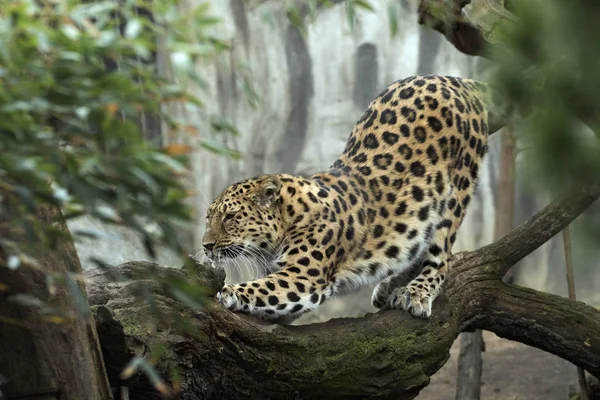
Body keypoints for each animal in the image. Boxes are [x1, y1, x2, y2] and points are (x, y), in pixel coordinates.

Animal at [204, 75, 504, 324]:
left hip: (457, 192)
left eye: (230, 217)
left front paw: (227, 291)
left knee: (440, 255)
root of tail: (452, 79)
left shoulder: (302, 277)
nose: (206, 246)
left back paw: (416, 293)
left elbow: (259, 287)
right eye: (208, 218)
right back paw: (388, 287)